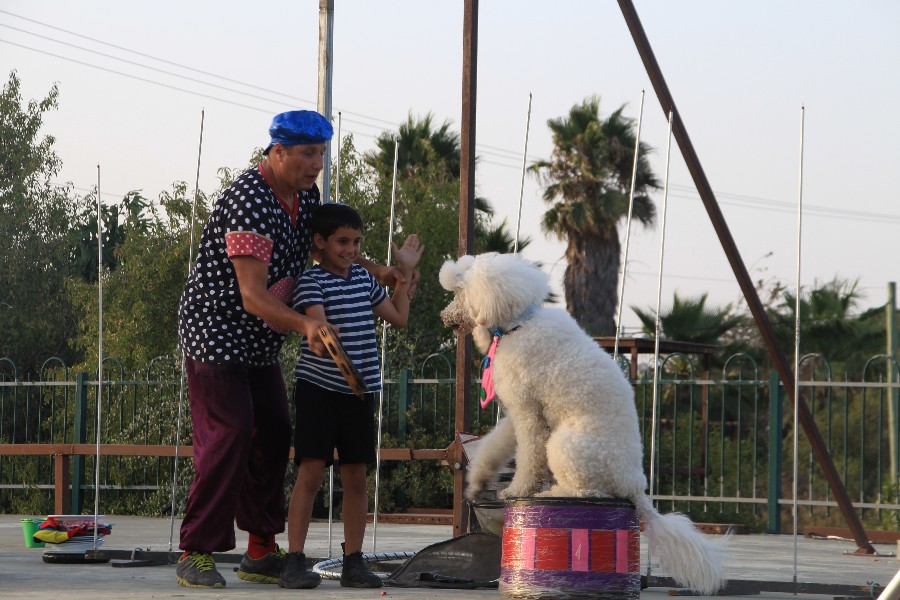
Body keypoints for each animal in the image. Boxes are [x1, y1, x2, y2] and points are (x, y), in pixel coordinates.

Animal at [440, 251, 728, 592]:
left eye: (460, 292)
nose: (444, 317)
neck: (519, 323)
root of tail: (635, 489)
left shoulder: (527, 413)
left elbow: (528, 459)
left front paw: (516, 490)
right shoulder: (520, 413)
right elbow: (493, 446)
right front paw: (478, 481)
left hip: (566, 445)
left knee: (589, 492)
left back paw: (551, 493)